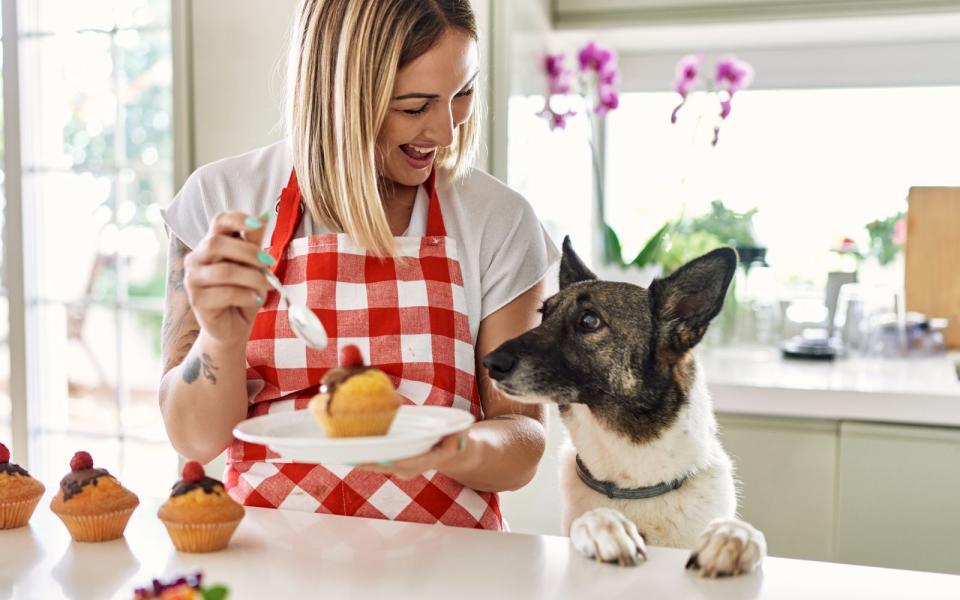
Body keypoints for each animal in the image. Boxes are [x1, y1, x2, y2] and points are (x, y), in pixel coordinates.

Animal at [488, 238, 764, 576]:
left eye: (589, 321)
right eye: (543, 313)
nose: (489, 363)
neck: (634, 485)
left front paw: (733, 536)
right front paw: (604, 527)